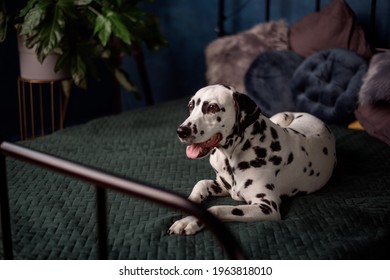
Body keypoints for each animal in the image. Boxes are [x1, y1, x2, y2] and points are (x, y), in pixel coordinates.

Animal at [169, 84, 336, 235]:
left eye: (212, 107)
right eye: (191, 106)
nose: (181, 131)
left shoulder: (266, 208)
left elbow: (217, 209)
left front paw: (190, 221)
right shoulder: (223, 186)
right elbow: (201, 184)